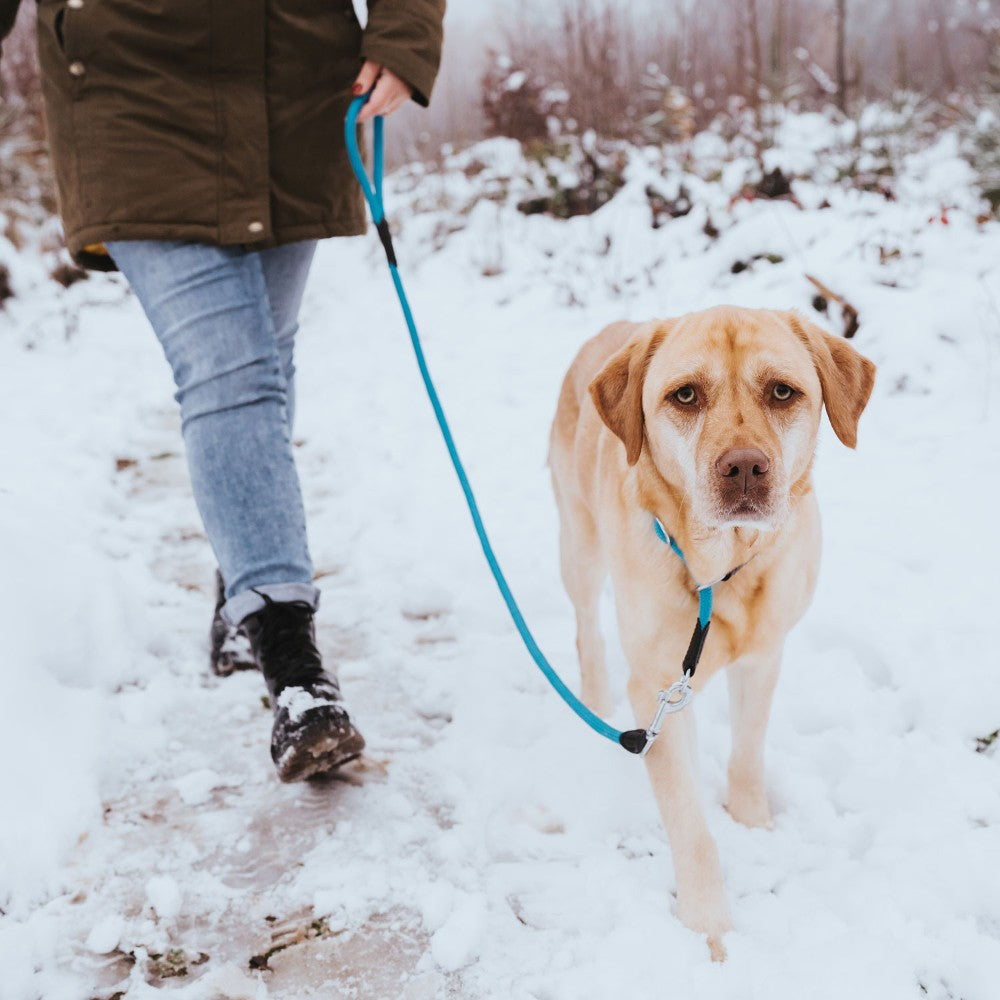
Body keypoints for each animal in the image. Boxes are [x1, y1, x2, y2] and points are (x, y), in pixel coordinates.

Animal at [548, 306, 876, 960]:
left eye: (783, 391)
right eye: (685, 395)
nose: (745, 466)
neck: (724, 570)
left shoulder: (763, 656)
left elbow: (747, 757)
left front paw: (754, 825)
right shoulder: (658, 690)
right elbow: (692, 831)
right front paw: (710, 932)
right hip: (579, 546)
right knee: (586, 632)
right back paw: (593, 700)